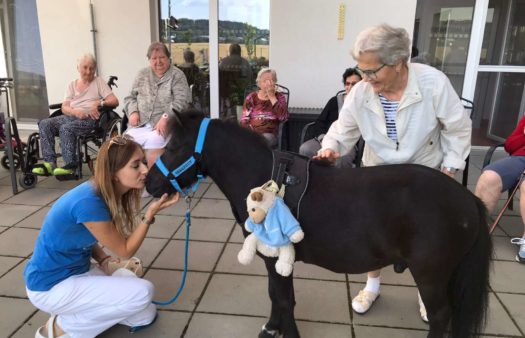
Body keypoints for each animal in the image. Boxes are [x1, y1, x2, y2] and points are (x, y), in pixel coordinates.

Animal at [146, 111, 492, 338]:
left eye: (173, 147)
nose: (150, 183)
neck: (266, 179)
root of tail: (468, 199)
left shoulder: (277, 257)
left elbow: (284, 298)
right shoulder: (273, 260)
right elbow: (276, 295)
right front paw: (272, 328)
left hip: (431, 274)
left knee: (440, 316)